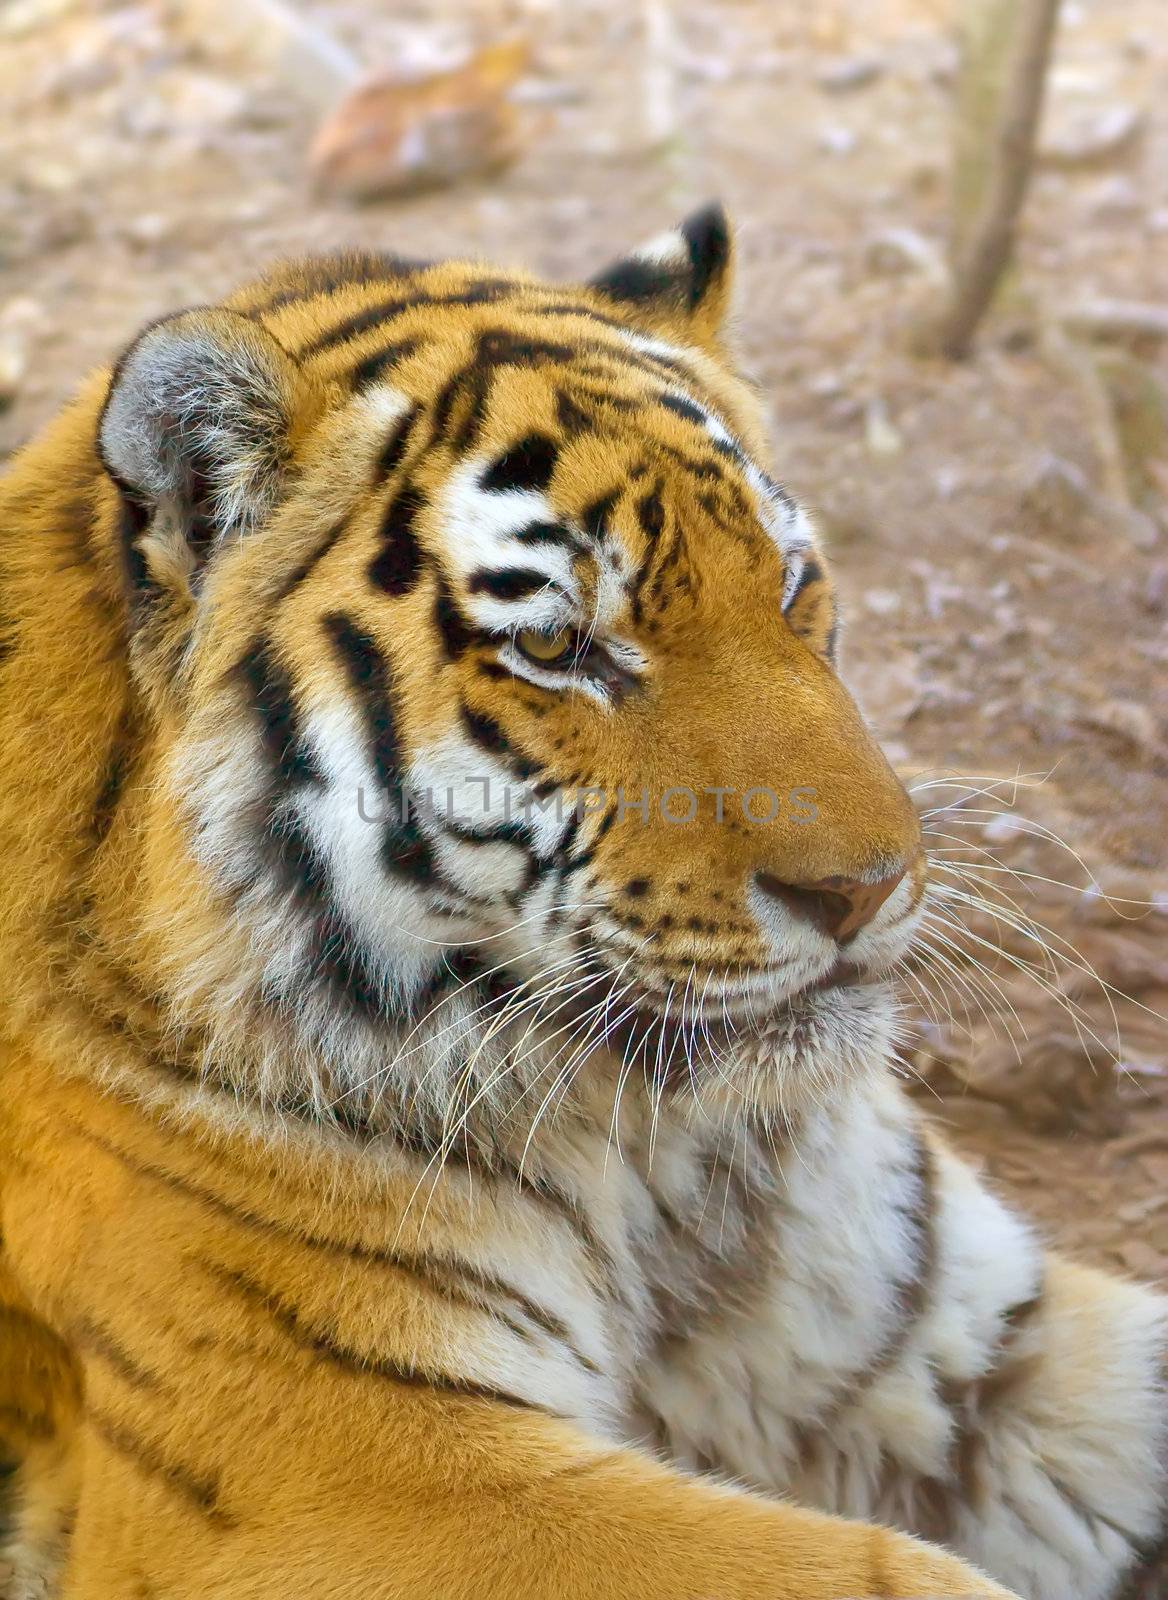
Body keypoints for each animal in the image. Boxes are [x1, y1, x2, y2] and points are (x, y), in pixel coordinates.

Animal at [0, 203, 1158, 1600]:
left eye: (789, 585)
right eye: (557, 648)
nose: (869, 887)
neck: (661, 1163)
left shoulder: (956, 1340)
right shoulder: (348, 1471)